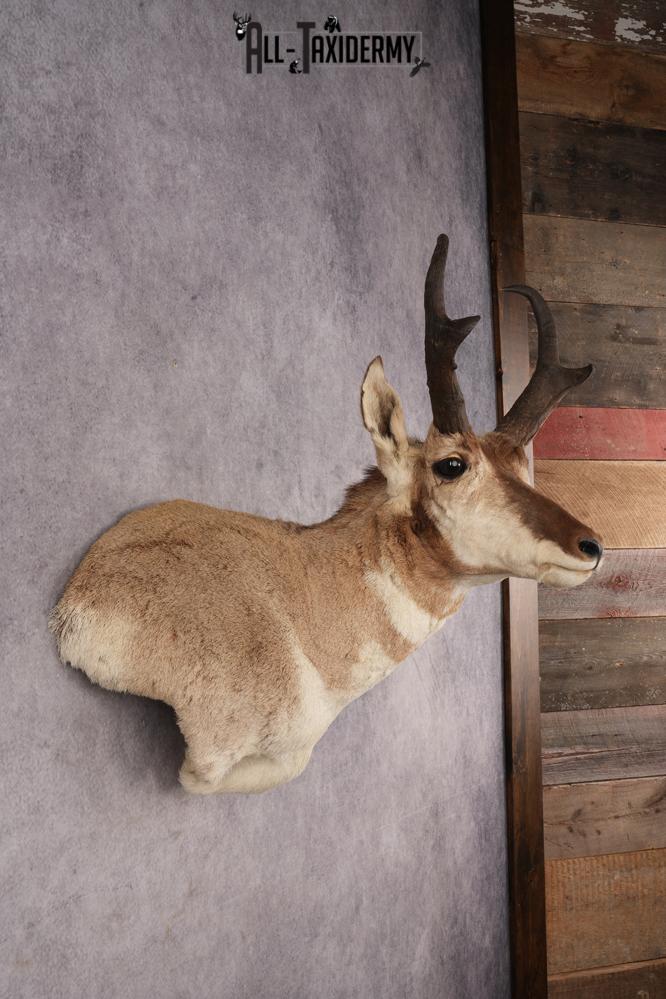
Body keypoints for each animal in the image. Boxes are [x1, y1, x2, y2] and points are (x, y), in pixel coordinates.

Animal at [50, 236, 603, 795]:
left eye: (523, 467)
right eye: (452, 464)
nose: (592, 546)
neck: (304, 609)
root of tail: (79, 592)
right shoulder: (207, 763)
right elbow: (215, 776)